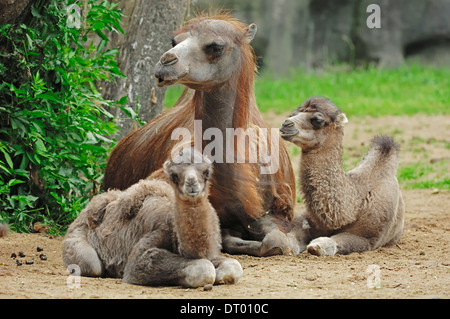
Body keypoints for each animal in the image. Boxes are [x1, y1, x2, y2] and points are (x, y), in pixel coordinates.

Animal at [282, 96, 404, 256]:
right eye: (293, 114)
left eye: (317, 120)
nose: (286, 124)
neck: (355, 205)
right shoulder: (308, 219)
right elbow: (290, 237)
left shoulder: (367, 238)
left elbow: (331, 242)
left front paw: (316, 246)